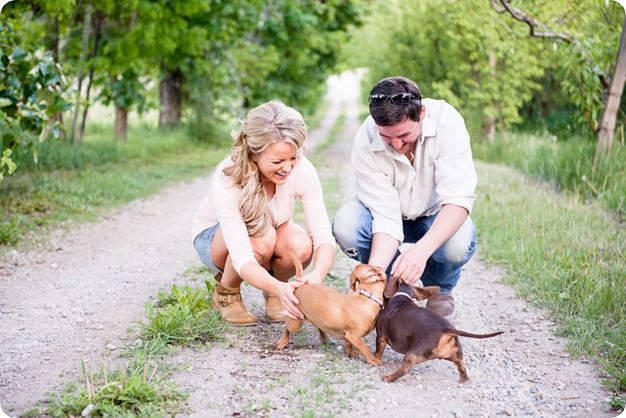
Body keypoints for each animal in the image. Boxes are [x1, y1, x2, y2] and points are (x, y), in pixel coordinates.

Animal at [372, 276, 504, 384]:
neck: (400, 298)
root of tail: (446, 329)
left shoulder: (381, 337)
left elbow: (378, 352)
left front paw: (375, 359)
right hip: (456, 354)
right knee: (462, 366)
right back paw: (464, 380)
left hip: (412, 354)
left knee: (404, 370)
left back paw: (388, 378)